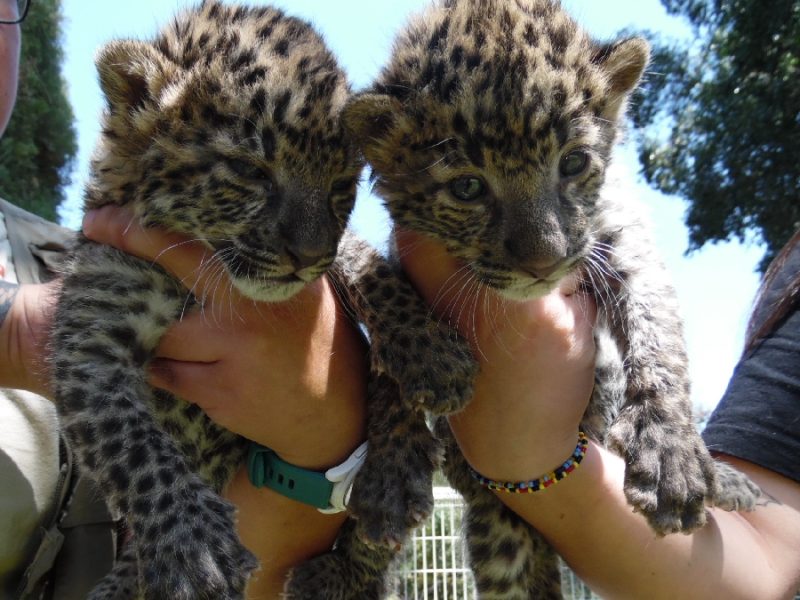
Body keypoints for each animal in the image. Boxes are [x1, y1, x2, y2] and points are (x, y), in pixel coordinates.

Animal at [50, 2, 475, 599]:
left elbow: (368, 272)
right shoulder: (91, 337)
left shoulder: (338, 266)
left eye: (339, 186)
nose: (307, 254)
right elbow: (131, 443)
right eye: (250, 171)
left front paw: (429, 362)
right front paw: (193, 548)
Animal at [341, 0, 763, 597]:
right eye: (467, 188)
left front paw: (671, 454)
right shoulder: (405, 260)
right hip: (500, 539)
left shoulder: (621, 232)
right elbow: (385, 350)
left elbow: (658, 327)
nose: (543, 262)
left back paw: (725, 480)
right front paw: (390, 472)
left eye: (573, 163)